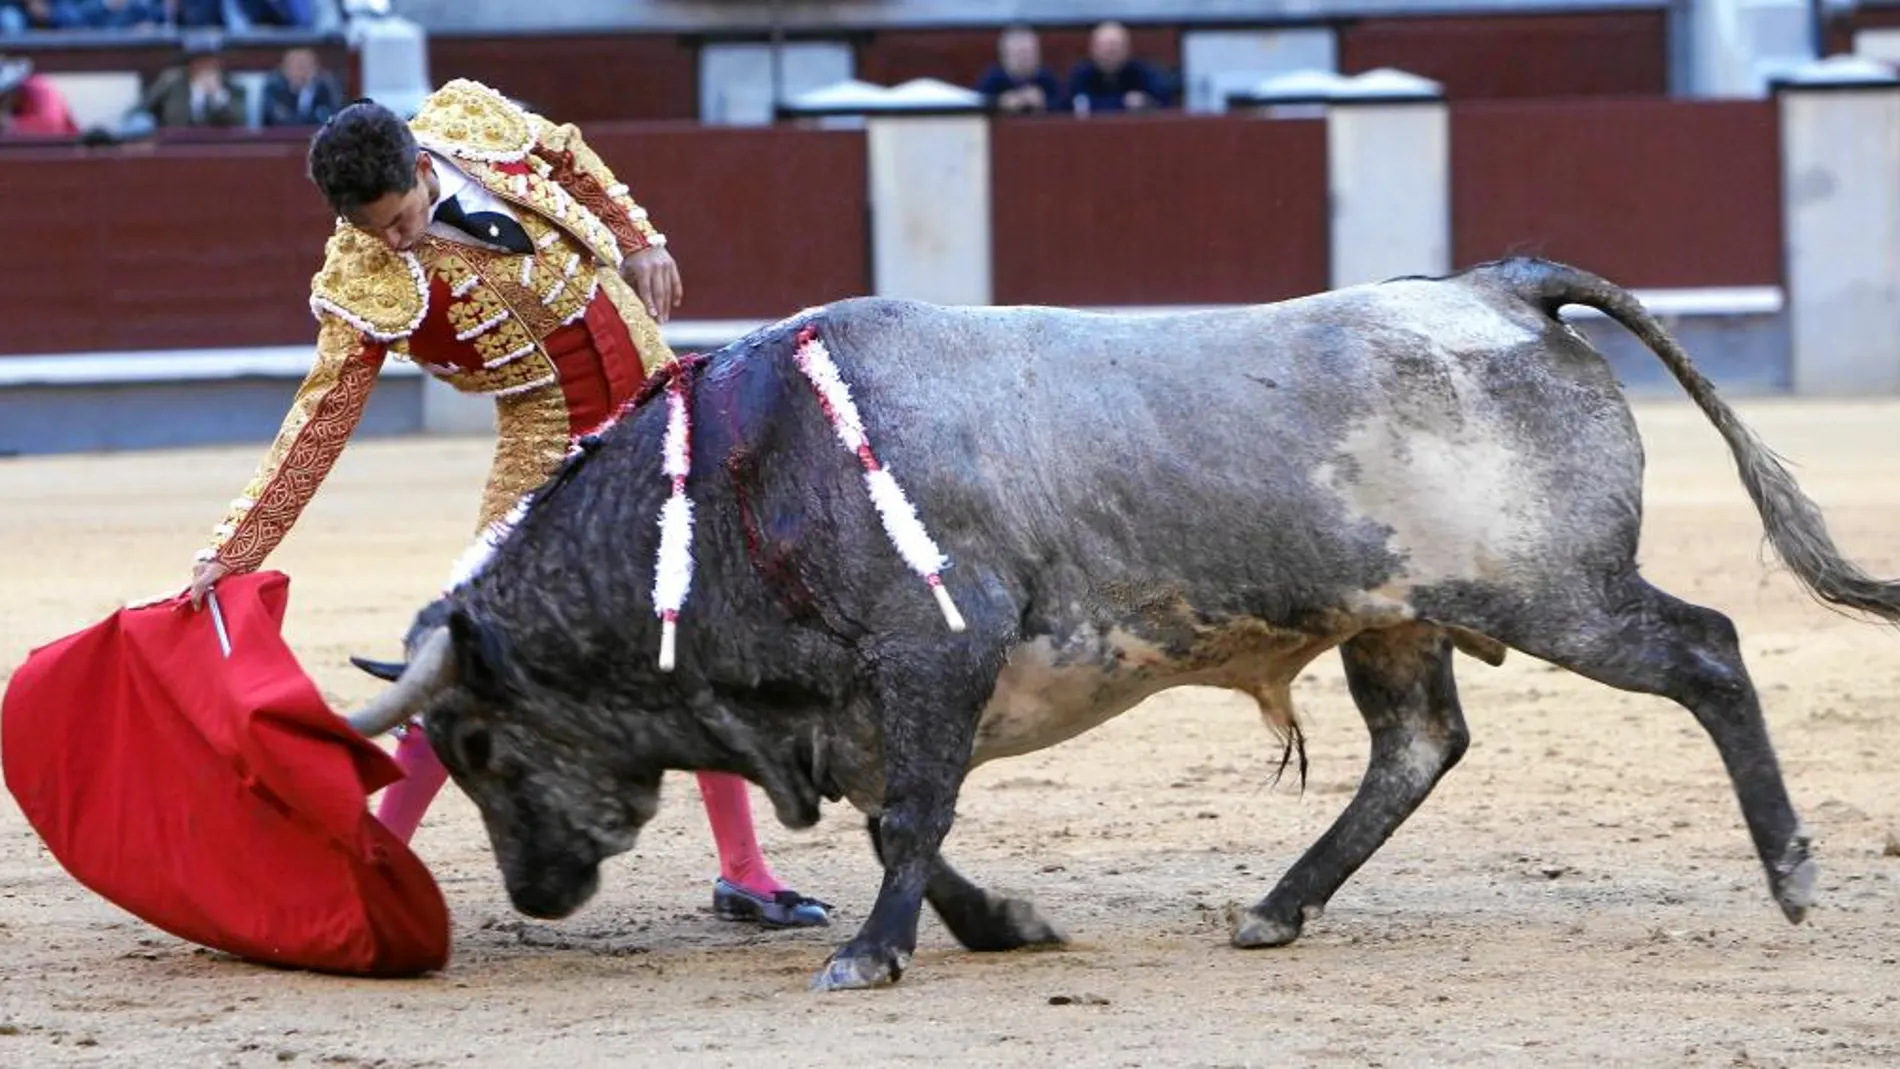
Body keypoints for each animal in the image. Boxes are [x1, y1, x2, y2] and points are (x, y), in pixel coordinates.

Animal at [342, 260, 1900, 994]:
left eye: (477, 744)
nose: (536, 894)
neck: (740, 476)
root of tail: (1494, 287)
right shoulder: (864, 708)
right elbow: (910, 824)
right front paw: (1004, 925)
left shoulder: (935, 657)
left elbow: (912, 818)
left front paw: (869, 954)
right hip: (1397, 614)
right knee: (1417, 746)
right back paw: (1277, 906)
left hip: (1555, 593)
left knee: (1705, 650)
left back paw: (1795, 872)